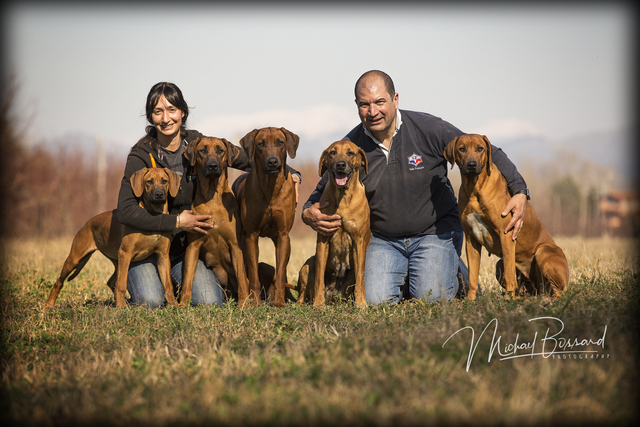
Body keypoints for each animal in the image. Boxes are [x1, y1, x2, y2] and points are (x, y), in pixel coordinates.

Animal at [44, 168, 180, 310]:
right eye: (149, 181)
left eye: (165, 181)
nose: (159, 195)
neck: (154, 215)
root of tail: (86, 224)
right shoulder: (126, 253)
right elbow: (122, 284)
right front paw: (121, 307)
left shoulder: (163, 255)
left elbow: (168, 285)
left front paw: (174, 305)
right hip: (75, 258)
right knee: (59, 281)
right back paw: (48, 305)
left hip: (117, 261)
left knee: (111, 281)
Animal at [181, 137, 254, 308]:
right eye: (202, 150)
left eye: (220, 150)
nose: (213, 166)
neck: (212, 198)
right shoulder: (193, 246)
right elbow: (187, 280)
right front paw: (181, 304)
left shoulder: (235, 245)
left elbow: (242, 278)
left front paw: (244, 305)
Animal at [235, 127, 300, 308]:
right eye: (261, 144)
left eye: (281, 142)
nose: (273, 162)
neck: (271, 187)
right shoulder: (251, 236)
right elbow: (253, 275)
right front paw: (256, 302)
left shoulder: (283, 235)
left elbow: (280, 274)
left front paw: (278, 302)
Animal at [298, 140, 372, 308]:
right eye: (332, 152)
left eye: (350, 153)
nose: (340, 165)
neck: (342, 198)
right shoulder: (323, 239)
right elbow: (319, 278)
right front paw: (318, 303)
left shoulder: (359, 242)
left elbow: (360, 279)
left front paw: (361, 303)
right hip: (307, 265)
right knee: (302, 293)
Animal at [444, 135, 568, 300]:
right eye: (461, 149)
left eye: (480, 148)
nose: (471, 165)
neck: (474, 189)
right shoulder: (471, 239)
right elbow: (472, 277)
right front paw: (470, 300)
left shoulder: (506, 234)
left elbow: (510, 273)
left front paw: (508, 299)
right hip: (500, 266)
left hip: (544, 252)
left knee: (559, 290)